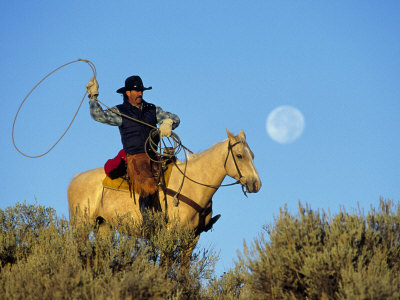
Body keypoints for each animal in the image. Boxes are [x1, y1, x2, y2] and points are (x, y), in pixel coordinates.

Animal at [67, 129, 260, 268]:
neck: (192, 184)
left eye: (253, 155)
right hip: (81, 225)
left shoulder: (192, 238)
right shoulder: (169, 234)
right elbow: (165, 267)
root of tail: (74, 179)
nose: (256, 184)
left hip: (104, 226)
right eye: (239, 155)